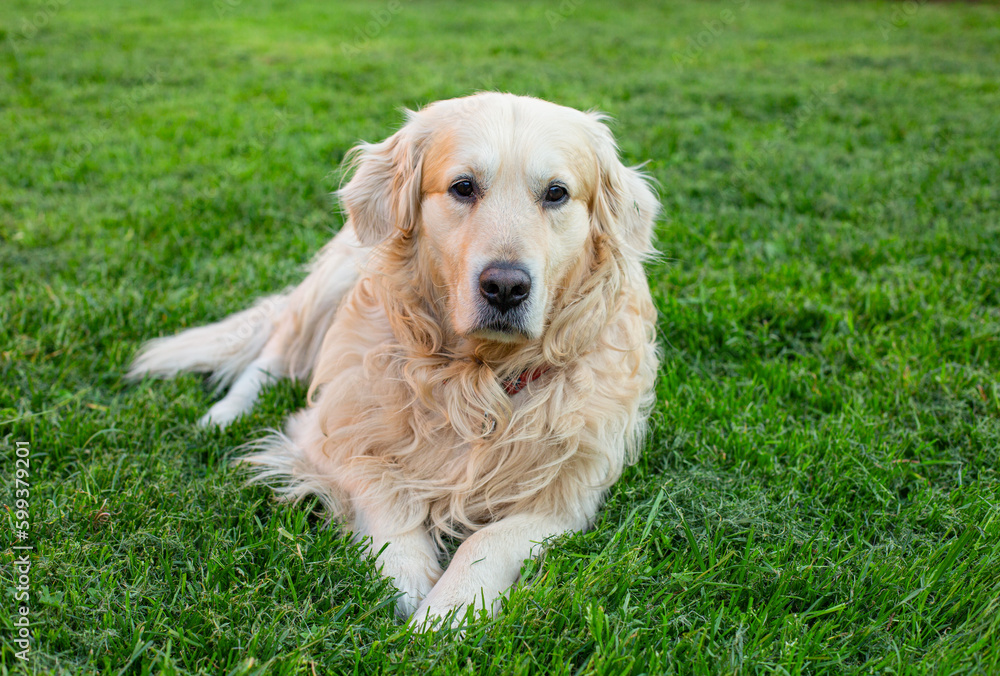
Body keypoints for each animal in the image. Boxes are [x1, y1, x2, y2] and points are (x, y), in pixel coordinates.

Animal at [129, 92, 660, 624]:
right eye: (463, 187)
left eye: (556, 193)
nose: (506, 286)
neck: (478, 378)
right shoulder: (331, 433)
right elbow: (384, 491)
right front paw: (406, 577)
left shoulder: (569, 493)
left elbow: (491, 539)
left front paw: (450, 608)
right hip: (335, 277)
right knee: (273, 355)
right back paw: (224, 414)